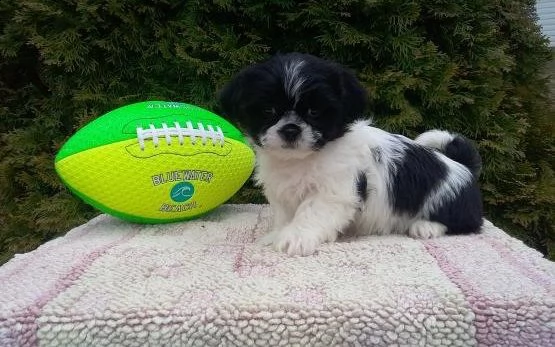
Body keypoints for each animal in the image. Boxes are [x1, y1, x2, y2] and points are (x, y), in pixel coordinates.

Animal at [217, 53, 482, 256]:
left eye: (314, 112)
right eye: (268, 110)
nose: (291, 129)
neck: (303, 160)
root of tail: (462, 165)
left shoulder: (334, 191)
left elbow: (309, 212)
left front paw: (296, 237)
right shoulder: (283, 192)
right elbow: (285, 215)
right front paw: (277, 233)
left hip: (448, 200)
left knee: (467, 223)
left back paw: (426, 226)